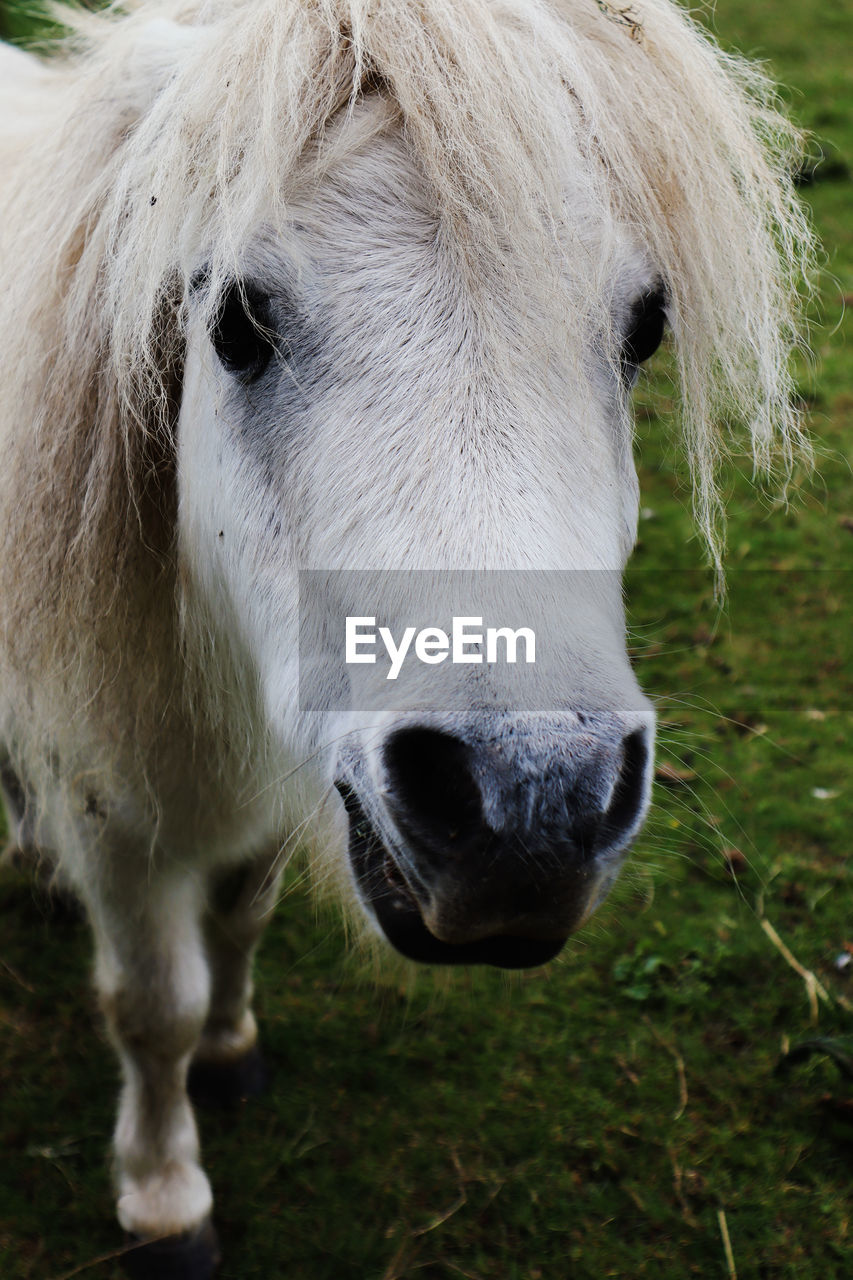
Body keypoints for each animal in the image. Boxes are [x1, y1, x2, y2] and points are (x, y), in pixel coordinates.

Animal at [0, 2, 809, 1280]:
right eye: (235, 319)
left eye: (645, 324)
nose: (529, 807)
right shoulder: (119, 815)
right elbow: (151, 1006)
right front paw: (165, 1196)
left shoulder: (282, 783)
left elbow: (237, 923)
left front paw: (232, 1047)